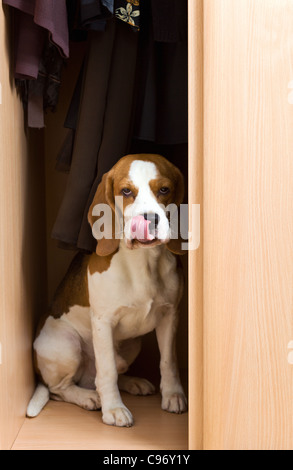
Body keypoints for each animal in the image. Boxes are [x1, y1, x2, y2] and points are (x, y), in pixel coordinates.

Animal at [27, 153, 187, 426]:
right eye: (126, 191)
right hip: (66, 344)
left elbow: (169, 361)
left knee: (109, 372)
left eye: (164, 189)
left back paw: (132, 382)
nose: (150, 219)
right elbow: (108, 370)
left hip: (133, 344)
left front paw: (173, 395)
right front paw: (113, 409)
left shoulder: (170, 315)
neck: (143, 263)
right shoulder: (103, 322)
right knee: (60, 389)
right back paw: (89, 397)